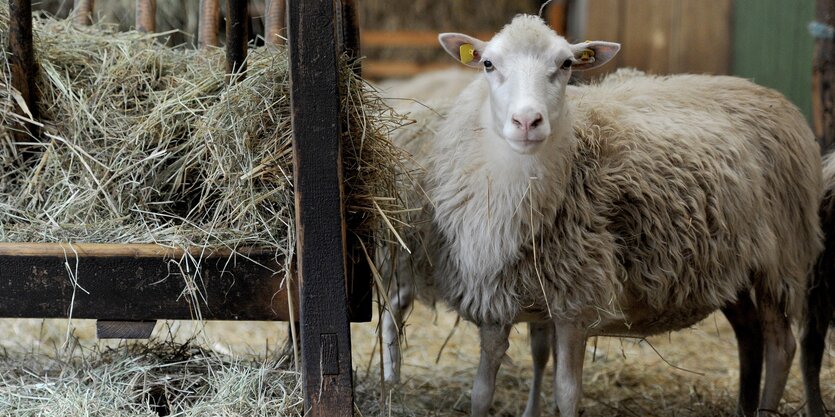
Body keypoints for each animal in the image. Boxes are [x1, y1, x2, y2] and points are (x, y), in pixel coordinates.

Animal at [424, 14, 824, 414]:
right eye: (489, 64)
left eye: (566, 64)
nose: (527, 122)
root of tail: (763, 91)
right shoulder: (494, 303)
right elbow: (480, 392)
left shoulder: (577, 300)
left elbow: (567, 392)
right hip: (730, 263)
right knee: (750, 335)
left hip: (780, 257)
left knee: (781, 346)